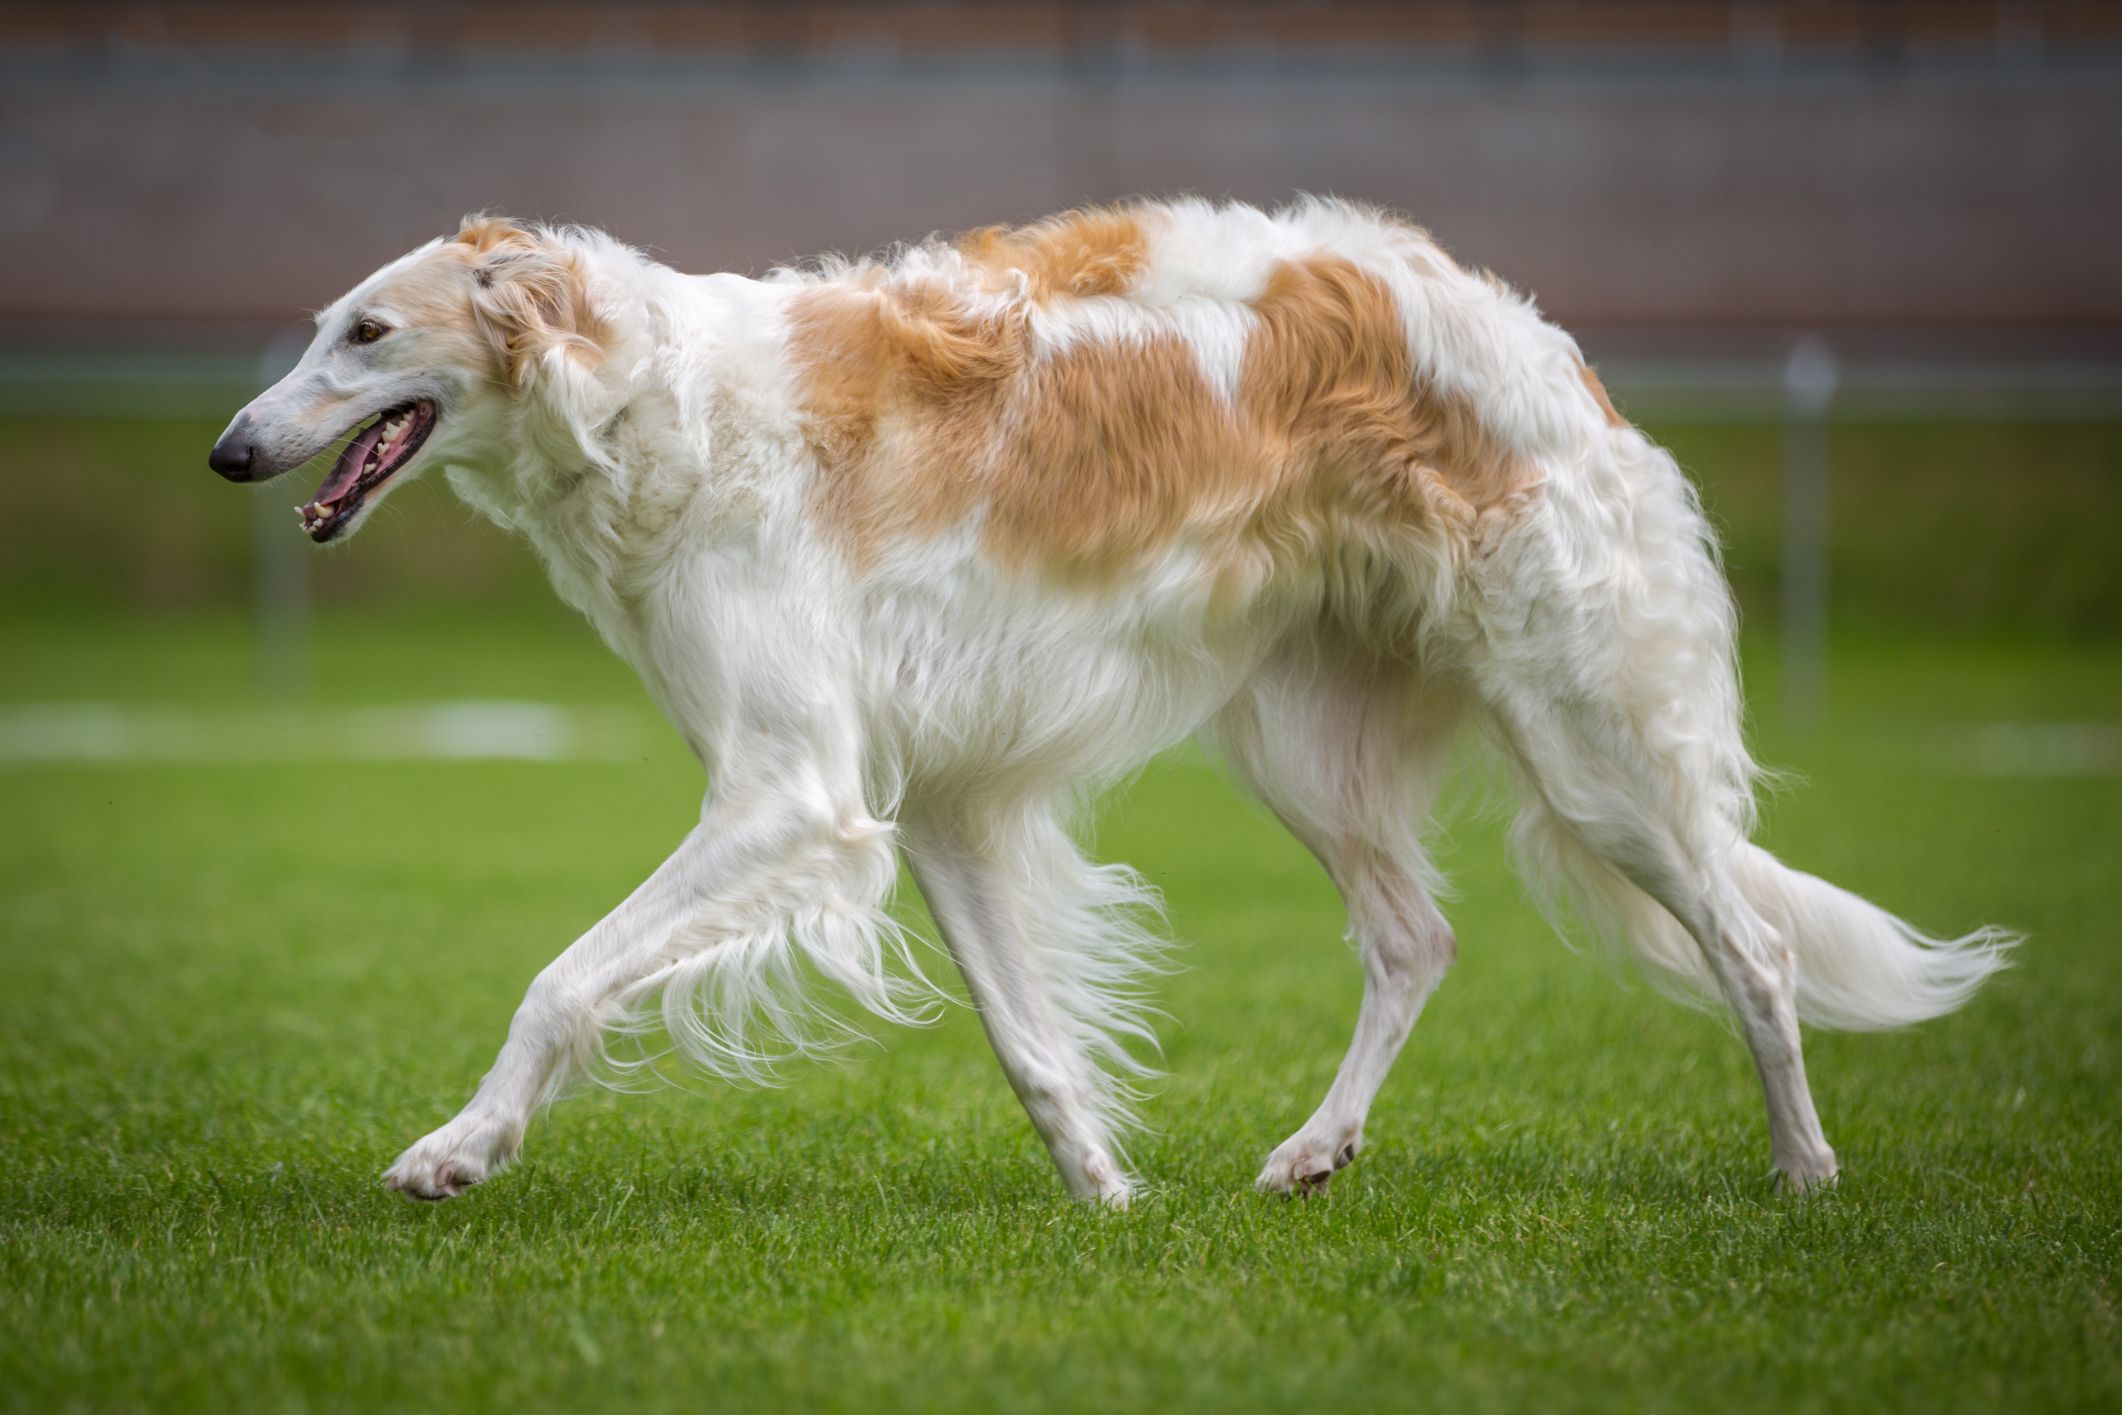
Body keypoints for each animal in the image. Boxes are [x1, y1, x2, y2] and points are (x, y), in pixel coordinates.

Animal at [206, 199, 2011, 1204]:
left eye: (364, 329)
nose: (228, 449)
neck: (658, 396)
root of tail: (1529, 331)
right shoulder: (934, 800)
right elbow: (1029, 1042)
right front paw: (1105, 1192)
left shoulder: (792, 793)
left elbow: (558, 981)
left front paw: (458, 1148)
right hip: (1295, 737)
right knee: (1416, 936)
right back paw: (1312, 1149)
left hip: (1588, 745)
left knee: (1754, 945)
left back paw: (1801, 1171)